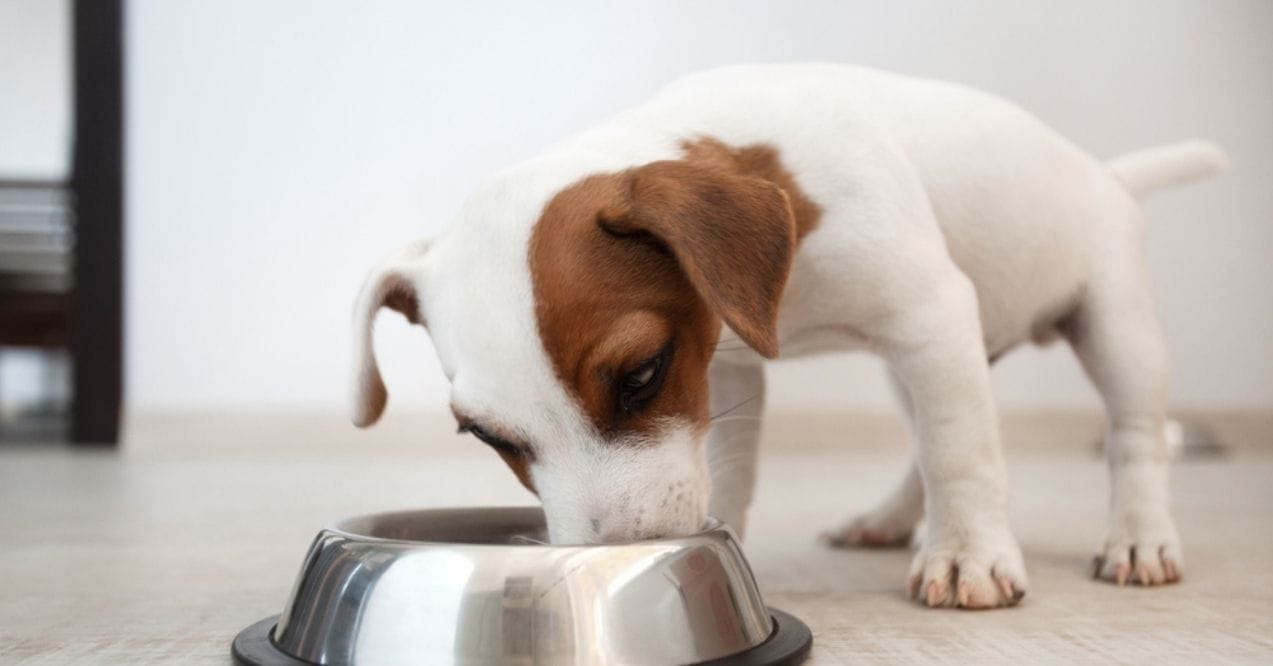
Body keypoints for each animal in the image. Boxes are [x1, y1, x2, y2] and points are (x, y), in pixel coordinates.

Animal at [346, 63, 1222, 608]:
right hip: (919, 367)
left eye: (640, 373)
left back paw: (1139, 538)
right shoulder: (726, 363)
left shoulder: (930, 312)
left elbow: (961, 455)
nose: (626, 550)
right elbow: (734, 464)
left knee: (1131, 437)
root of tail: (1107, 177)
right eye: (488, 437)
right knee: (924, 437)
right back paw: (888, 519)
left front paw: (968, 555)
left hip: (1111, 324)